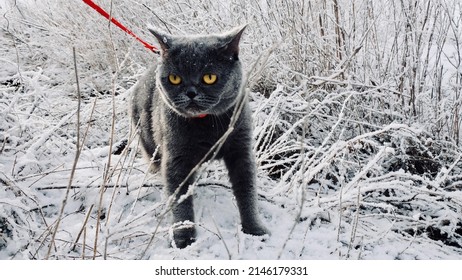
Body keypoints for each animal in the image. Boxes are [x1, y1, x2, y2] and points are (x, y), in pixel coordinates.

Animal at [130, 25, 268, 247]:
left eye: (209, 78)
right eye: (175, 79)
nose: (191, 92)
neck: (207, 126)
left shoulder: (241, 149)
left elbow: (247, 190)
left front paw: (254, 229)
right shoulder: (176, 159)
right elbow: (180, 199)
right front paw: (184, 238)